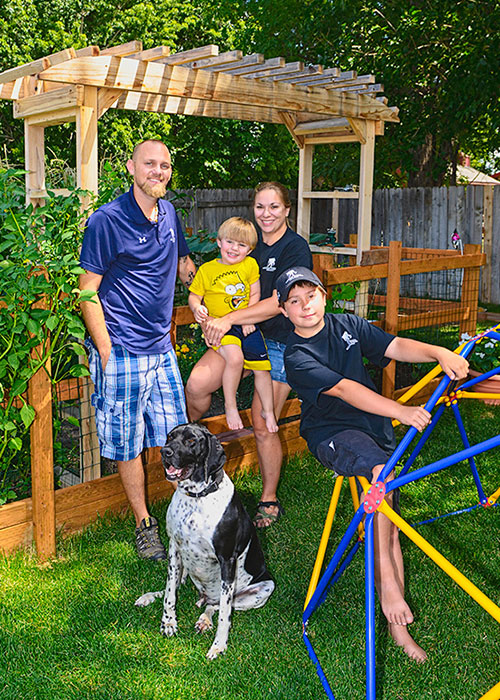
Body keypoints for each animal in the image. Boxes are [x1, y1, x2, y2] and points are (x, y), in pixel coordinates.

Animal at [135, 424, 276, 660]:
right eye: (170, 437)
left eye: (192, 441)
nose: (165, 452)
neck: (197, 497)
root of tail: (204, 595)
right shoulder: (174, 549)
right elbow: (169, 592)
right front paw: (168, 623)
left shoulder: (227, 560)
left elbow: (225, 614)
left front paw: (219, 645)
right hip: (183, 568)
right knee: (177, 588)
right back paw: (149, 597)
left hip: (264, 588)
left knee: (217, 605)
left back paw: (204, 619)